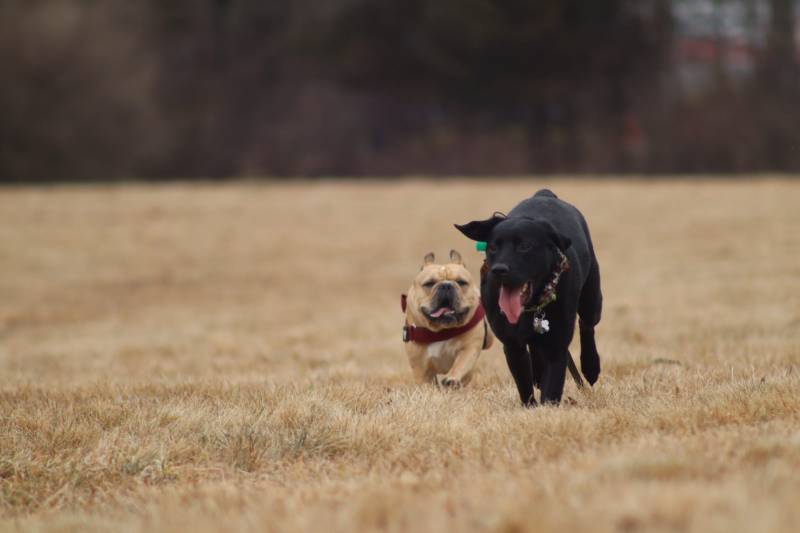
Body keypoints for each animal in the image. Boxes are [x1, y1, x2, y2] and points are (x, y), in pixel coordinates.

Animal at [404, 249, 490, 386]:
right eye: (429, 283)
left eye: (461, 282)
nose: (446, 285)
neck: (441, 330)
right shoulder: (420, 365)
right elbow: (422, 381)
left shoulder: (470, 348)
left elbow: (461, 364)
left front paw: (451, 379)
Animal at [456, 189, 600, 406]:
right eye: (492, 248)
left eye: (524, 246)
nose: (499, 270)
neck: (531, 307)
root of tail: (544, 194)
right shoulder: (512, 344)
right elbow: (524, 383)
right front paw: (530, 406)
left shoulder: (557, 345)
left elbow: (552, 386)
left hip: (592, 298)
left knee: (587, 325)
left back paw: (591, 366)